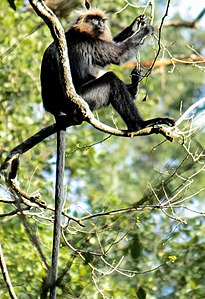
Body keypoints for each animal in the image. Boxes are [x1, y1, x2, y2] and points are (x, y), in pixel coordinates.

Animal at [40, 9, 175, 131]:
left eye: (101, 21)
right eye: (95, 20)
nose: (101, 24)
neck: (78, 31)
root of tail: (55, 109)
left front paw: (134, 25)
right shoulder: (88, 41)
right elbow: (119, 54)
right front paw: (145, 30)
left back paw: (134, 85)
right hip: (83, 101)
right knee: (111, 80)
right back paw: (140, 124)